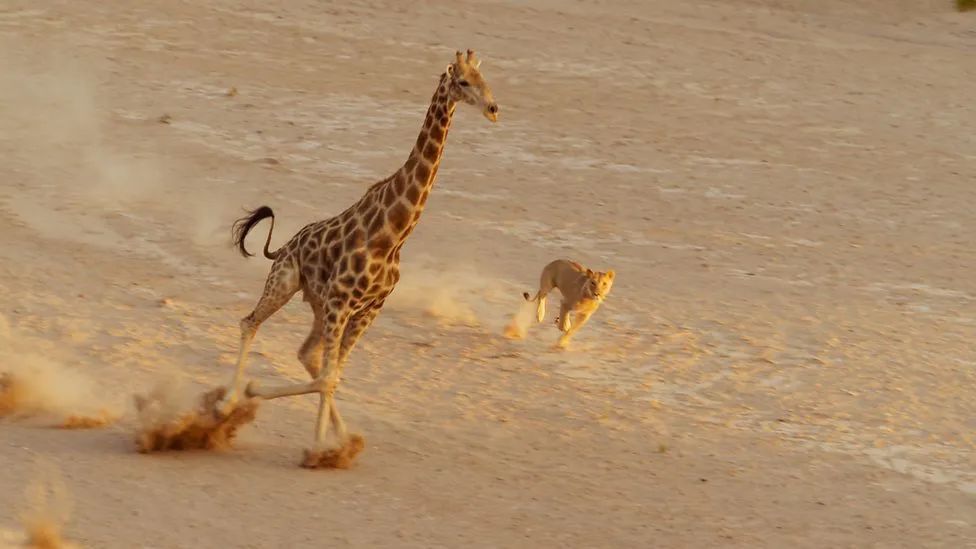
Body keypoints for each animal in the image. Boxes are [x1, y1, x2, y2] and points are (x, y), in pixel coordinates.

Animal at [218, 49, 500, 466]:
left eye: (485, 80)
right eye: (464, 82)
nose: (494, 109)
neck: (393, 233)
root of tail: (284, 246)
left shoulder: (369, 308)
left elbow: (332, 375)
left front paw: (336, 443)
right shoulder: (341, 301)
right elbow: (328, 377)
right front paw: (315, 445)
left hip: (318, 304)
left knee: (308, 354)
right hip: (285, 282)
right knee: (249, 323)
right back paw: (228, 402)